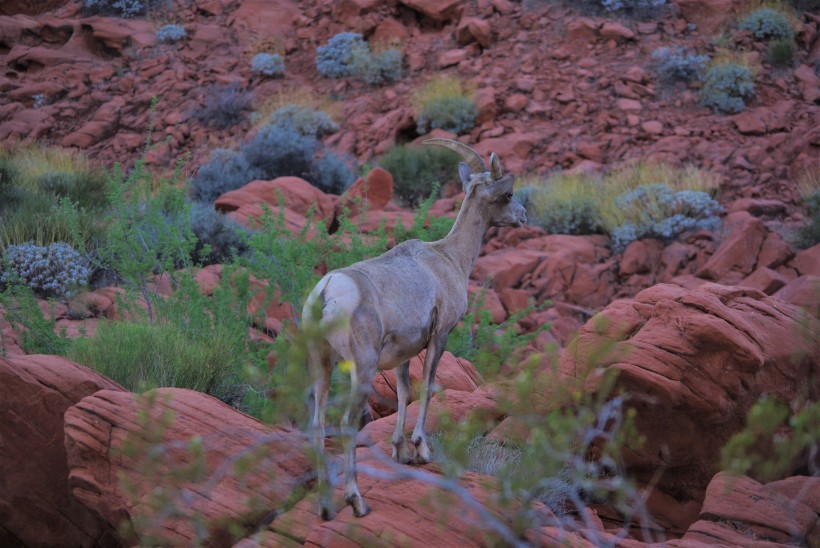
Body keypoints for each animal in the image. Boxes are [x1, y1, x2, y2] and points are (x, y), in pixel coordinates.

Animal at [302, 137, 524, 520]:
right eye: (508, 195)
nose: (523, 216)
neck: (450, 259)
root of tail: (328, 292)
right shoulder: (440, 335)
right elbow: (429, 388)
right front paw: (420, 450)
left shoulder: (404, 353)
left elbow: (405, 392)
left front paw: (399, 451)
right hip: (361, 367)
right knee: (346, 423)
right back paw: (356, 502)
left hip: (322, 364)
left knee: (317, 424)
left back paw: (325, 507)